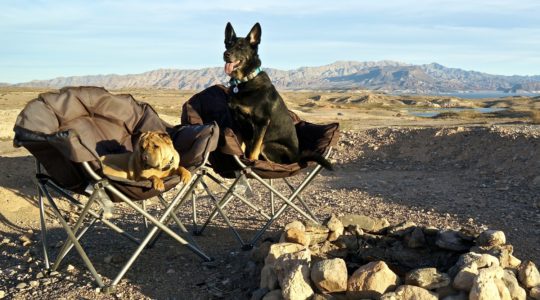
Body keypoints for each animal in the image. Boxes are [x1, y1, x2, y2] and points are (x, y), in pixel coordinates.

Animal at [221, 22, 332, 169]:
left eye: (241, 47)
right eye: (228, 44)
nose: (226, 54)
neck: (245, 80)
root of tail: (296, 157)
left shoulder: (261, 122)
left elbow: (253, 150)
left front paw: (252, 161)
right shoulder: (239, 122)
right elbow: (243, 145)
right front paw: (242, 157)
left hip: (267, 145)